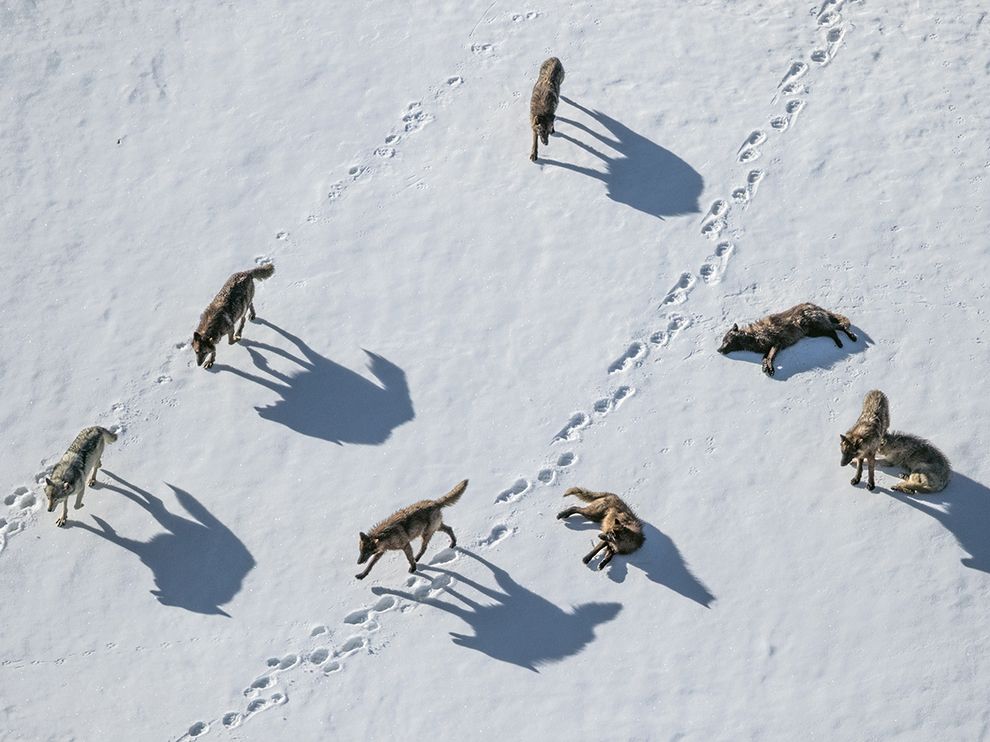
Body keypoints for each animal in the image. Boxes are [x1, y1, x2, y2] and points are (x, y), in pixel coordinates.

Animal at [716, 302, 856, 378]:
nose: (718, 350)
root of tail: (815, 306)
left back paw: (850, 338)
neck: (753, 336)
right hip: (813, 333)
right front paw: (765, 367)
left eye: (725, 341)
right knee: (833, 331)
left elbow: (770, 357)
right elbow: (765, 358)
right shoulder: (768, 348)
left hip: (815, 327)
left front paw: (770, 368)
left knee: (839, 327)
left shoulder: (777, 344)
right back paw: (840, 342)